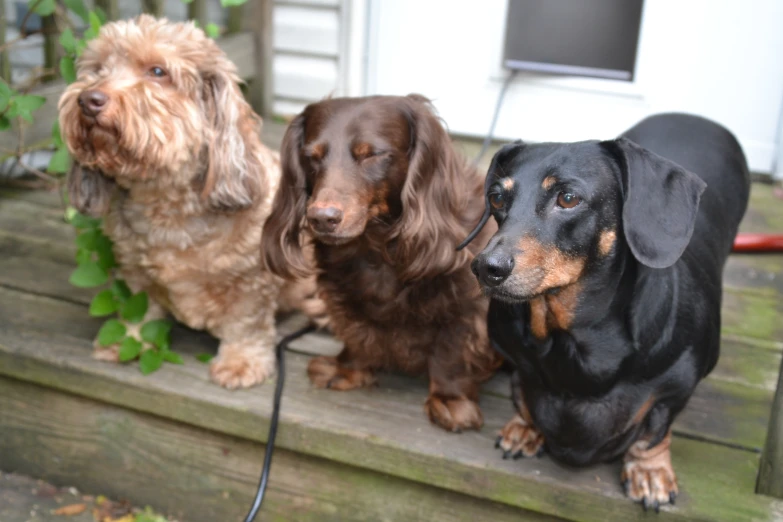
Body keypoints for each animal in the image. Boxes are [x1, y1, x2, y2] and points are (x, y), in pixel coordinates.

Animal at [56, 15, 324, 386]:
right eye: (97, 69)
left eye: (157, 71)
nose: (88, 99)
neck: (165, 204)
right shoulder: (134, 272)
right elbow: (139, 310)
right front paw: (128, 340)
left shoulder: (251, 282)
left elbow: (246, 323)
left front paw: (241, 362)